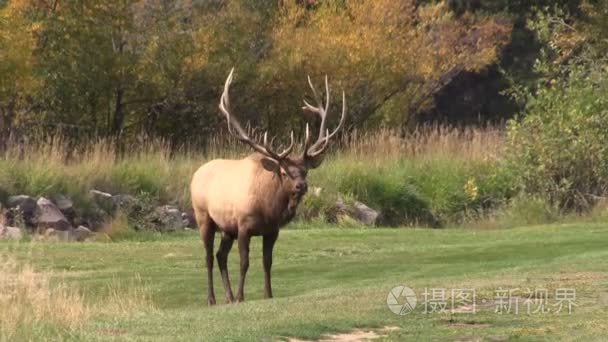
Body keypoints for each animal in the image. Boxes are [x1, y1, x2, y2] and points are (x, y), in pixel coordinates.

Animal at [190, 68, 344, 304]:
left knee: (220, 255)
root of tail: (195, 174)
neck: (269, 209)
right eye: (284, 172)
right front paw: (242, 297)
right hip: (204, 217)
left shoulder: (272, 231)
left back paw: (228, 296)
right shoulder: (243, 226)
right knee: (208, 256)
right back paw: (212, 299)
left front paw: (268, 294)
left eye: (305, 170)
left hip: (227, 227)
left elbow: (267, 262)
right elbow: (245, 262)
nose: (301, 186)